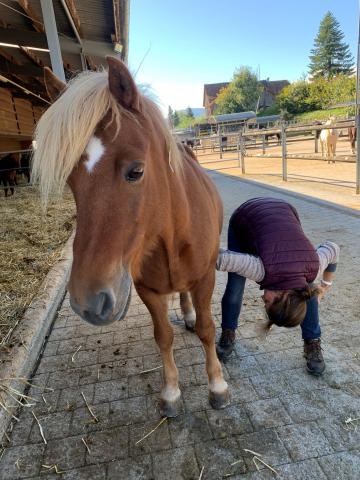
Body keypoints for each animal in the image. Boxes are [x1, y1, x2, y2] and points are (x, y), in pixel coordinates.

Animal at [31, 56, 228, 416]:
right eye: (70, 181)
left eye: (136, 171)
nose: (88, 303)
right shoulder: (146, 289)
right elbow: (163, 336)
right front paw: (171, 393)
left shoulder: (206, 277)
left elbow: (207, 330)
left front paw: (217, 386)